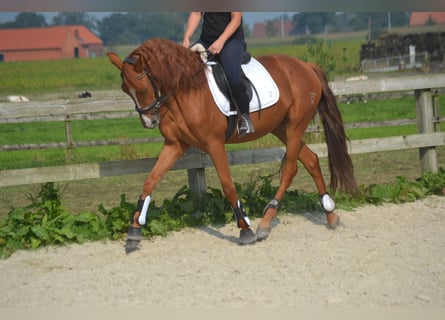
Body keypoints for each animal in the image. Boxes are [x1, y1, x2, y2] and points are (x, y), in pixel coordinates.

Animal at [108, 38, 358, 252]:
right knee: (311, 160)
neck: (185, 91)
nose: (149, 122)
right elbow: (150, 181)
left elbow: (228, 185)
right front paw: (133, 232)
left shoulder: (214, 144)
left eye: (141, 87)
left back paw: (265, 223)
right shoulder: (175, 144)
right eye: (125, 90)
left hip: (296, 125)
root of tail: (306, 66)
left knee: (290, 168)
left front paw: (245, 230)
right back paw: (330, 214)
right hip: (281, 128)